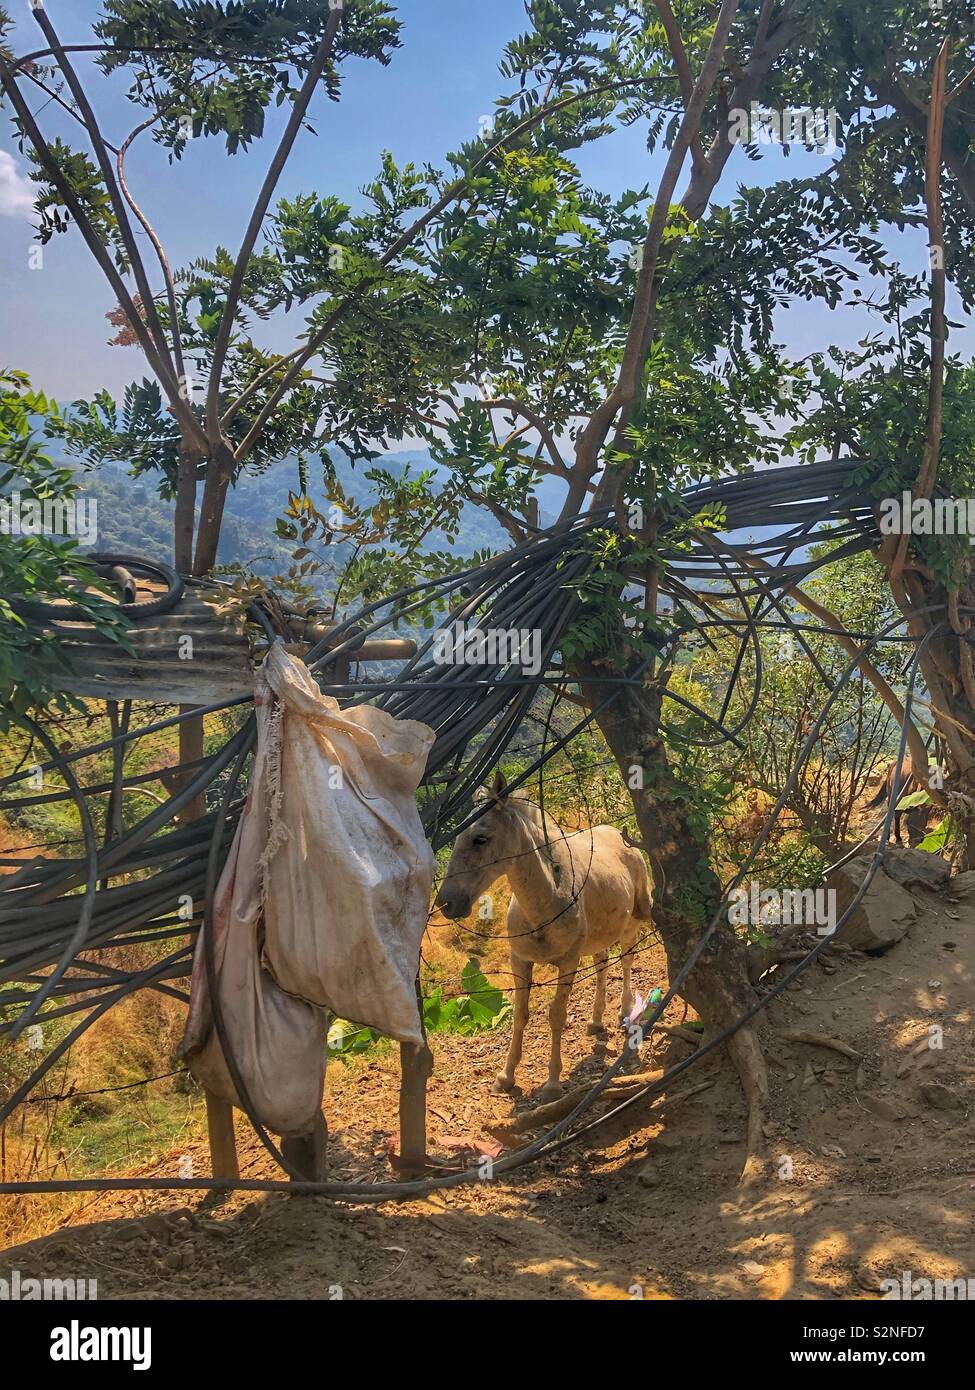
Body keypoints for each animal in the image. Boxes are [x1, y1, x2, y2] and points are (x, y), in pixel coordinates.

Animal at [436, 772, 650, 1095]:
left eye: (480, 838)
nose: (446, 902)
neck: (546, 899)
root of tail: (621, 837)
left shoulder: (568, 962)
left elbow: (556, 1015)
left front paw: (551, 1083)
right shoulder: (520, 961)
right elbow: (520, 1015)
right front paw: (506, 1077)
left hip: (630, 927)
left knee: (625, 963)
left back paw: (624, 1013)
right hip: (597, 939)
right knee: (602, 965)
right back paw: (595, 1021)